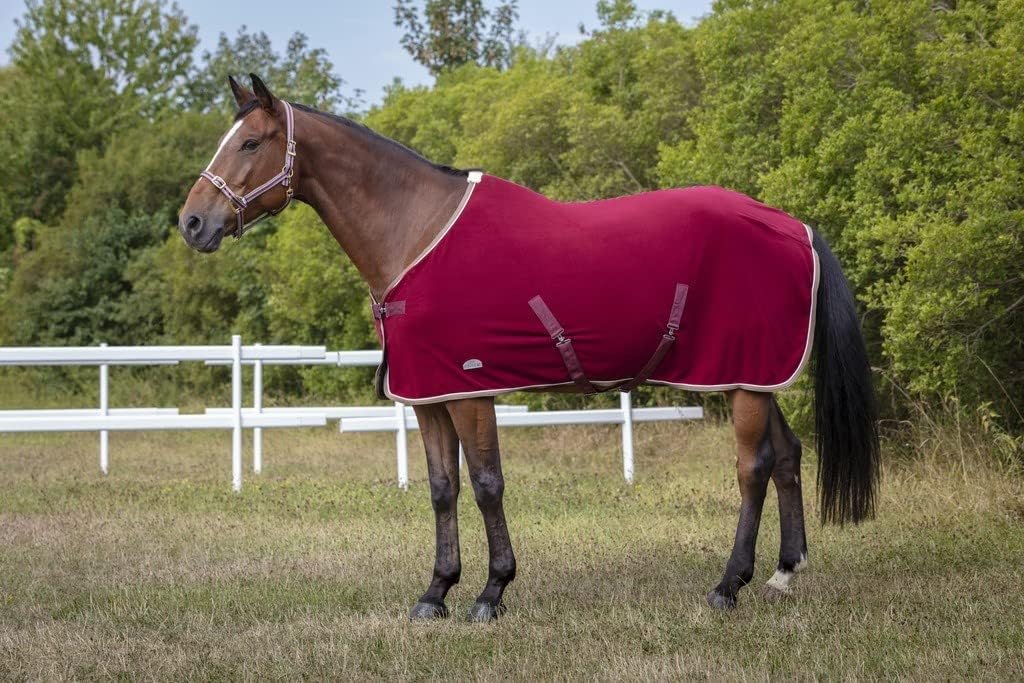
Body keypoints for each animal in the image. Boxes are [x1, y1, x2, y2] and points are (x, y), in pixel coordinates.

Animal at [178, 74, 880, 622]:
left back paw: (727, 586)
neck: (416, 232)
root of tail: (794, 225)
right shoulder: (430, 395)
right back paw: (783, 574)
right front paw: (435, 593)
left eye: (250, 142)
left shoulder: (471, 389)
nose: (192, 223)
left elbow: (487, 483)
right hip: (754, 375)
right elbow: (442, 488)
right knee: (787, 456)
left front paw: (492, 593)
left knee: (752, 468)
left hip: (741, 380)